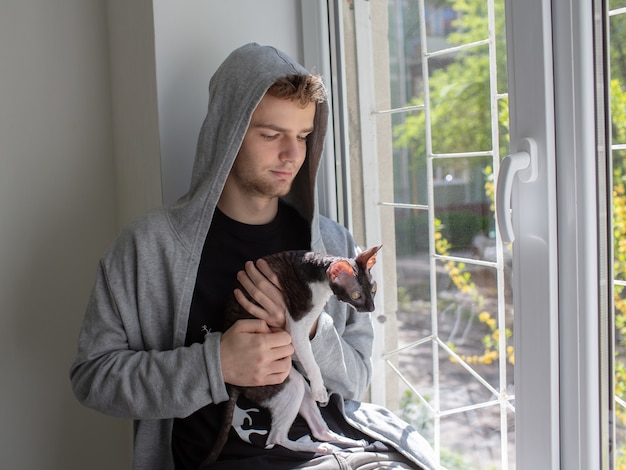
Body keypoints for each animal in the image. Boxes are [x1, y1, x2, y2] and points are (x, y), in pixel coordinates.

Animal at [205, 246, 380, 462]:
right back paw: (320, 447)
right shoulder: (296, 326)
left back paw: (345, 443)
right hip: (285, 384)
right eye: (356, 295)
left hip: (298, 386)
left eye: (373, 289)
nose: (372, 308)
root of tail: (235, 385)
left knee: (319, 430)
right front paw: (320, 389)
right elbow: (311, 361)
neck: (315, 268)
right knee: (275, 438)